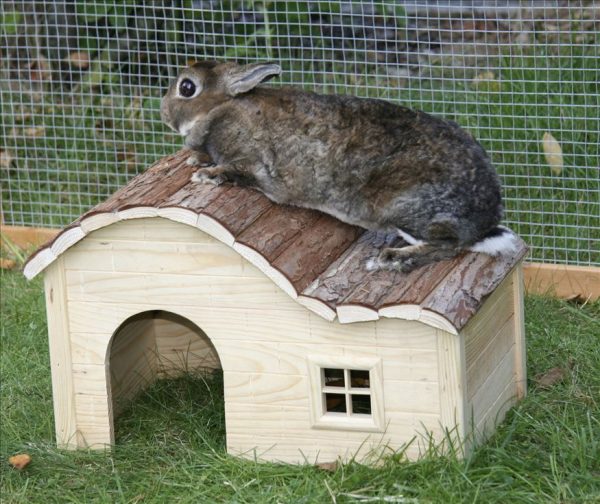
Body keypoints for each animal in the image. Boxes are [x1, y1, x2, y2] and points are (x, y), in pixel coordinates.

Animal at [161, 61, 520, 274]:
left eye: (187, 87)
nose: (163, 112)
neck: (221, 109)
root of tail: (486, 217)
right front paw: (196, 160)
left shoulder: (252, 162)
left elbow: (234, 170)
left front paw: (205, 175)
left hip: (402, 206)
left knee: (447, 245)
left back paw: (390, 258)